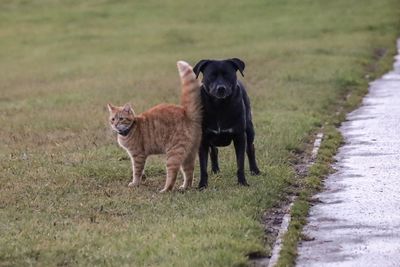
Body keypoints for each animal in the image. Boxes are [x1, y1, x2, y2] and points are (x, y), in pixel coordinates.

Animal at [108, 61, 202, 193]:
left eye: (121, 118)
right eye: (113, 119)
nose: (116, 125)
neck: (130, 130)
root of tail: (186, 112)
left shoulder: (138, 155)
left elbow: (136, 171)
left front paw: (135, 183)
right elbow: (140, 171)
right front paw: (140, 180)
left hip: (173, 154)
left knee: (172, 175)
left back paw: (165, 190)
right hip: (189, 154)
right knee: (189, 172)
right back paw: (185, 187)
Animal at [193, 57, 260, 189]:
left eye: (228, 75)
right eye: (211, 75)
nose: (221, 88)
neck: (219, 106)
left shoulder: (239, 137)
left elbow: (240, 163)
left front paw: (242, 182)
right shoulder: (203, 139)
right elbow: (203, 166)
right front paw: (202, 185)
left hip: (249, 129)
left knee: (250, 149)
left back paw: (255, 170)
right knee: (214, 150)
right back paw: (215, 170)